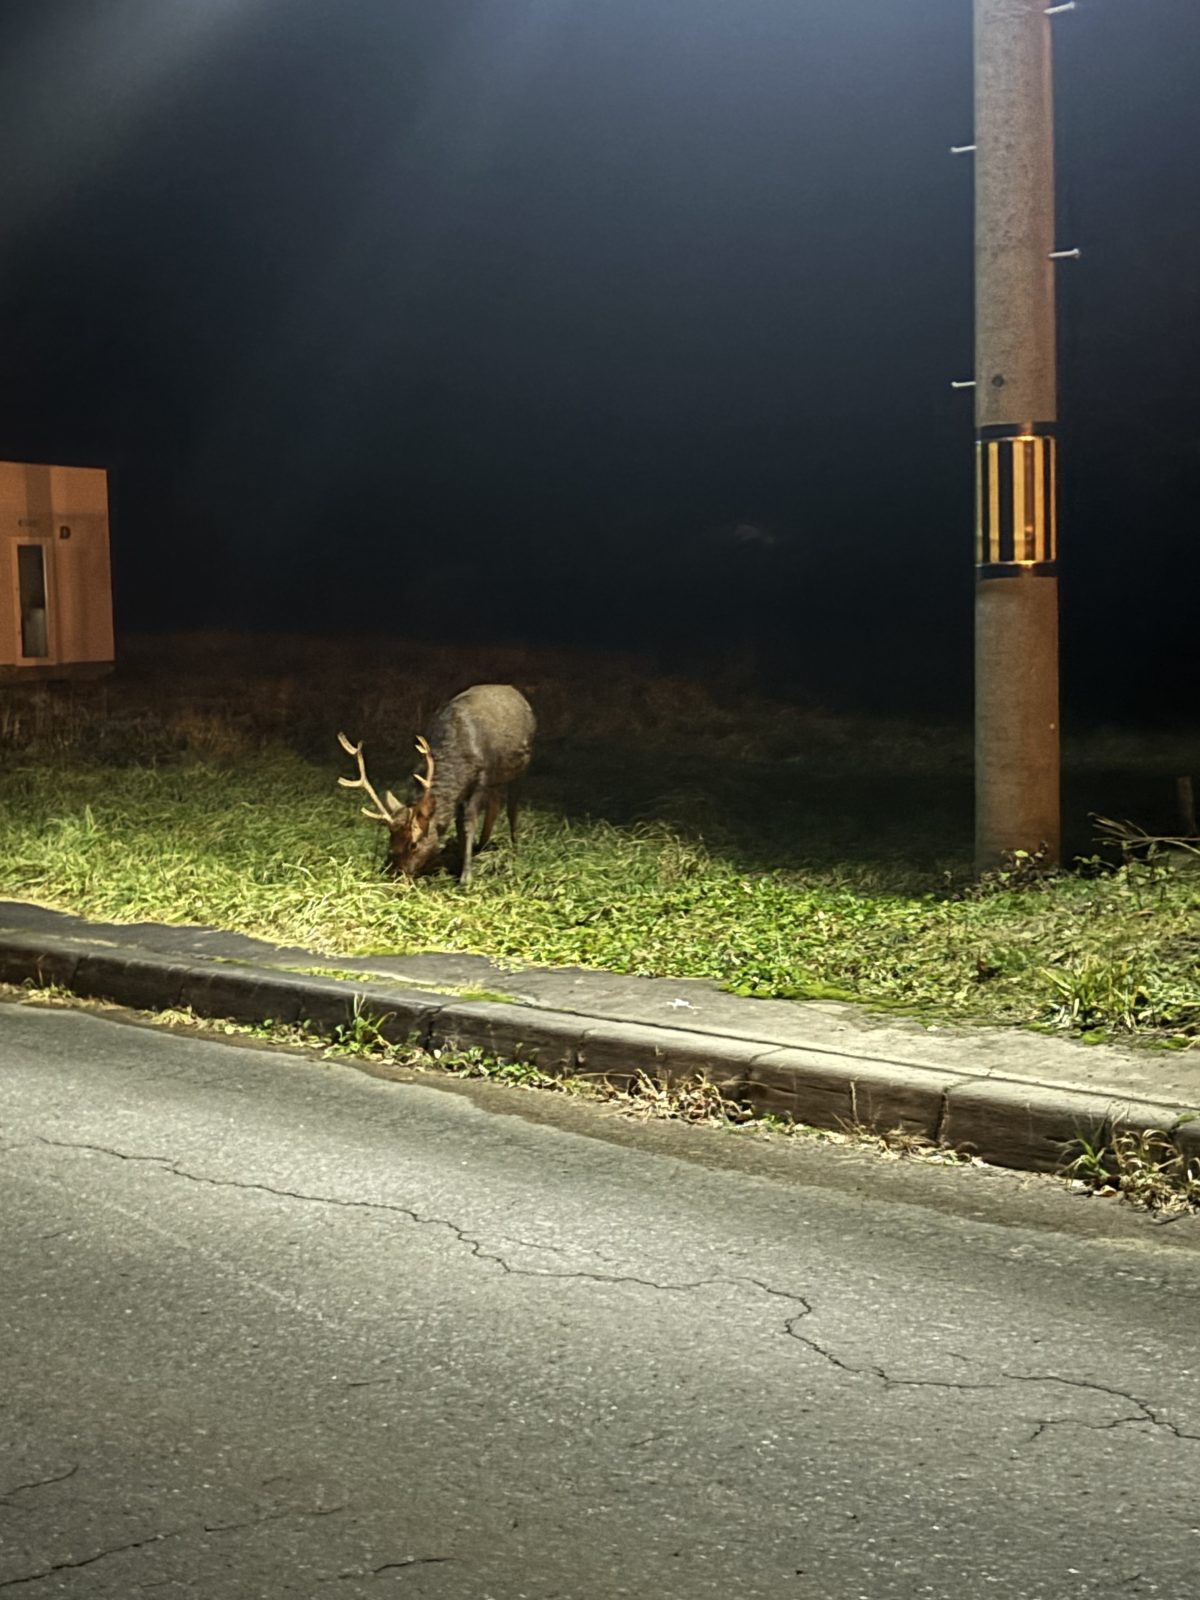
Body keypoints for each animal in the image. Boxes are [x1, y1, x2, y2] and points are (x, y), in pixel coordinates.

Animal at [337, 684, 535, 885]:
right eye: (391, 840)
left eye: (414, 844)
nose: (397, 874)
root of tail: (515, 692)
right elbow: (459, 826)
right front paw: (458, 862)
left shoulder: (481, 778)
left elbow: (468, 824)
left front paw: (465, 877)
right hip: (498, 778)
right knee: (496, 804)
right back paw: (482, 845)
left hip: (521, 767)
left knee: (511, 808)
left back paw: (514, 848)